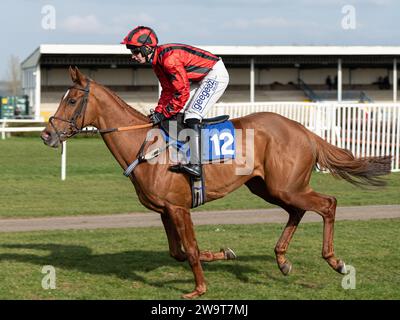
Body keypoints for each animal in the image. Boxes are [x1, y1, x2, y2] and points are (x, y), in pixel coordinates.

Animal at [42, 66, 392, 298]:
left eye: (71, 101)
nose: (47, 134)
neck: (145, 145)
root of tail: (303, 129)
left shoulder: (178, 208)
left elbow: (191, 249)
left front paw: (199, 288)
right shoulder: (166, 210)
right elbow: (179, 252)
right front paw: (224, 253)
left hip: (286, 186)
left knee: (328, 204)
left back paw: (336, 262)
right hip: (269, 187)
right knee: (298, 211)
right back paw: (282, 260)